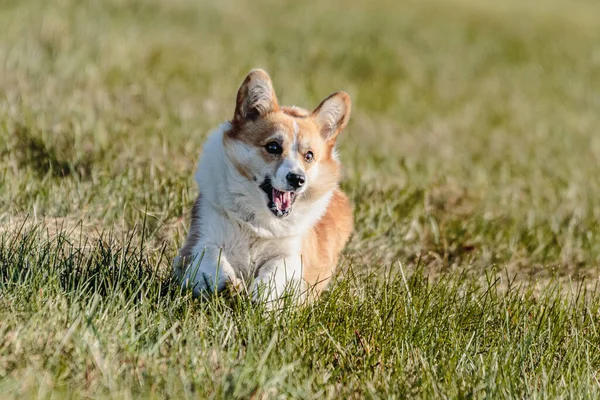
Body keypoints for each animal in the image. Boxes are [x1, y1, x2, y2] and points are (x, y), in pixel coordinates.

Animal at [173, 69, 352, 306]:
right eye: (273, 146)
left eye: (309, 155)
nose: (298, 179)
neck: (258, 220)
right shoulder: (199, 238)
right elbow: (210, 253)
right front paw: (229, 284)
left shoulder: (293, 255)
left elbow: (276, 269)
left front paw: (262, 298)